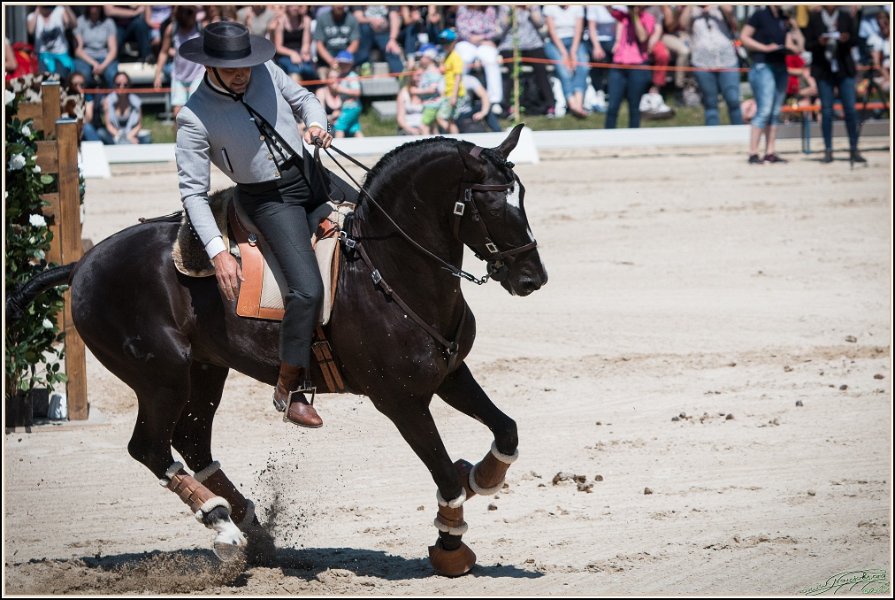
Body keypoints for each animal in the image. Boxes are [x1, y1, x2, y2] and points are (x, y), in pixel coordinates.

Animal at [7, 124, 547, 576]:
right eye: (493, 205)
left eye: (522, 196)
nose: (533, 278)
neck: (386, 272)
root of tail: (82, 265)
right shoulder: (399, 401)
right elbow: (444, 476)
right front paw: (450, 544)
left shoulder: (449, 374)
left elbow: (507, 431)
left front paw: (483, 475)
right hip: (161, 376)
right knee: (150, 447)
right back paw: (221, 526)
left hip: (205, 369)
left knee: (192, 441)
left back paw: (246, 521)